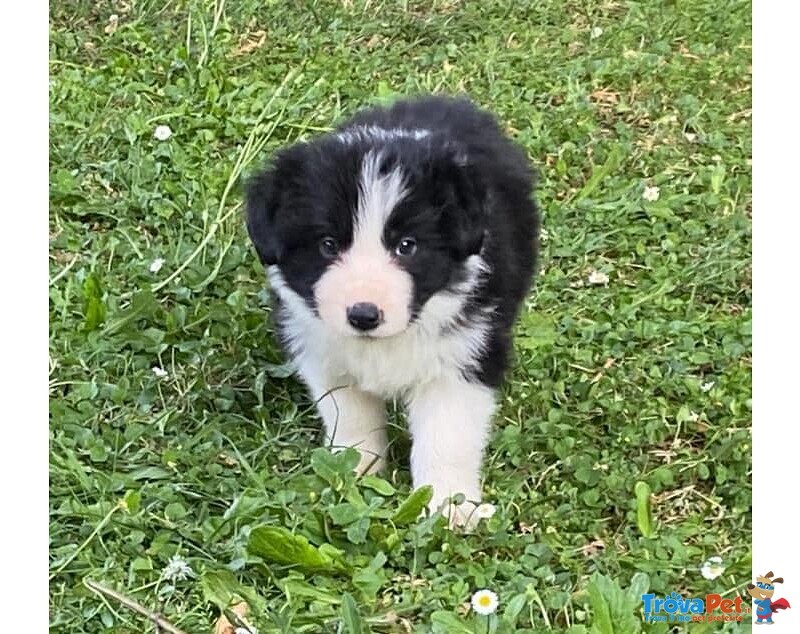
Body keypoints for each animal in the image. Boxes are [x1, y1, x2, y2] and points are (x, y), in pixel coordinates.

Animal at [247, 94, 540, 524]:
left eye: (407, 246)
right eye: (328, 244)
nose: (364, 315)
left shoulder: (464, 356)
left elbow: (447, 435)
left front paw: (449, 508)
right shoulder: (324, 353)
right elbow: (351, 417)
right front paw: (354, 472)